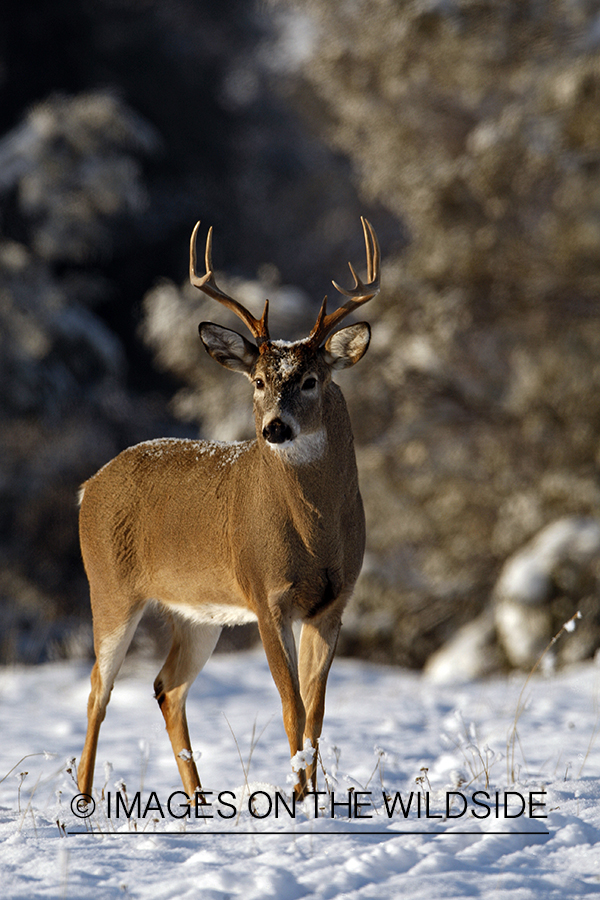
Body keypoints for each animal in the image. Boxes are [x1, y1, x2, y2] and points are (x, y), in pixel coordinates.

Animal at [76, 217, 380, 804]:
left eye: (311, 380)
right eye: (258, 381)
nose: (275, 428)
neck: (315, 536)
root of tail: (88, 486)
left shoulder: (333, 603)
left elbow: (317, 712)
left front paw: (312, 798)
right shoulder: (265, 594)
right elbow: (292, 708)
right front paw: (296, 798)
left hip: (197, 612)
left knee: (167, 687)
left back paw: (197, 800)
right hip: (110, 587)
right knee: (99, 690)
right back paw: (81, 798)